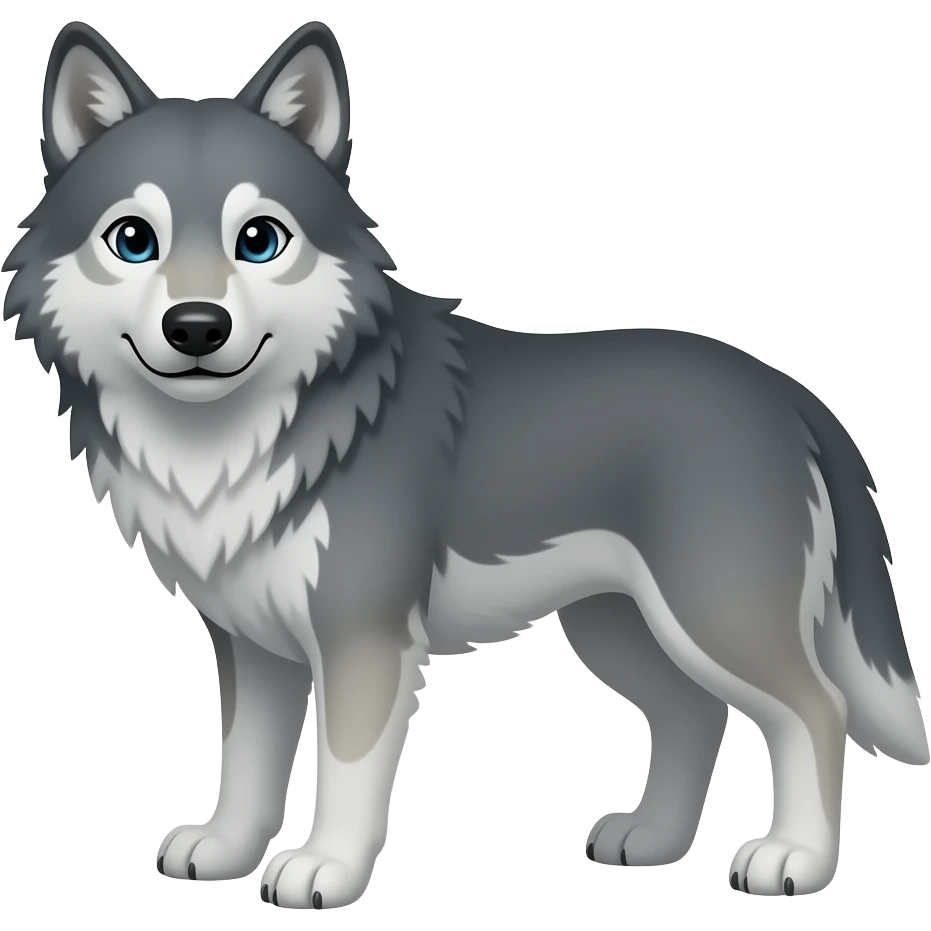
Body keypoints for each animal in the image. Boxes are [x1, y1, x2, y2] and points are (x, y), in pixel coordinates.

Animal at [1, 17, 925, 910]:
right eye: (133, 239)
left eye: (259, 240)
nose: (197, 326)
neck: (239, 436)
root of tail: (790, 392)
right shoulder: (252, 642)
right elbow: (246, 761)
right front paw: (227, 849)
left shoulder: (361, 637)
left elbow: (344, 769)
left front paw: (325, 869)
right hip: (617, 626)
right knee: (695, 715)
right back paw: (651, 840)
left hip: (710, 615)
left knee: (815, 709)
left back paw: (794, 859)